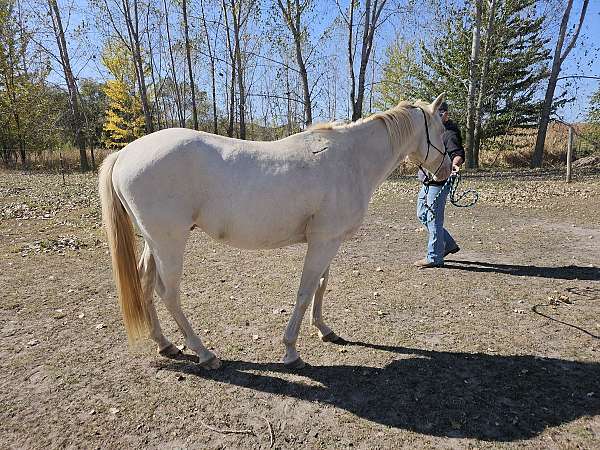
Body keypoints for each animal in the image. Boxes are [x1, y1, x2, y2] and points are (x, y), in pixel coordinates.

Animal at [98, 94, 450, 370]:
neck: (350, 159)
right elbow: (305, 292)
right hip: (169, 243)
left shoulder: (329, 241)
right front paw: (291, 351)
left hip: (153, 243)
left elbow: (321, 286)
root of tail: (124, 153)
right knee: (167, 293)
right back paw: (205, 354)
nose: (448, 171)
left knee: (145, 284)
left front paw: (325, 330)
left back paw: (165, 344)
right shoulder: (323, 242)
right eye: (443, 130)